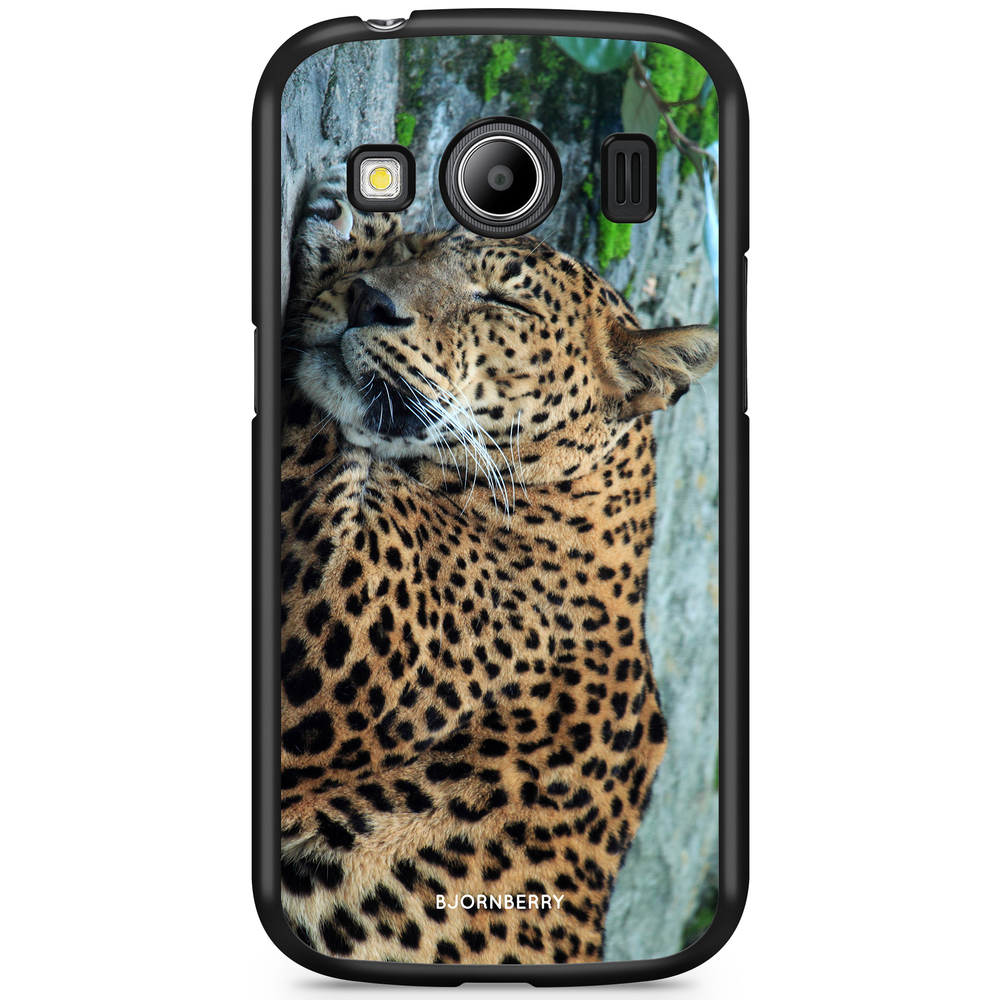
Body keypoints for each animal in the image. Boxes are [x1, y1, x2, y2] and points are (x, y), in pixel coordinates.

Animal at [278, 176, 718, 965]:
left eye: (504, 304)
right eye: (420, 249)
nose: (368, 300)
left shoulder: (334, 622)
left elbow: (317, 429)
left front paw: (351, 227)